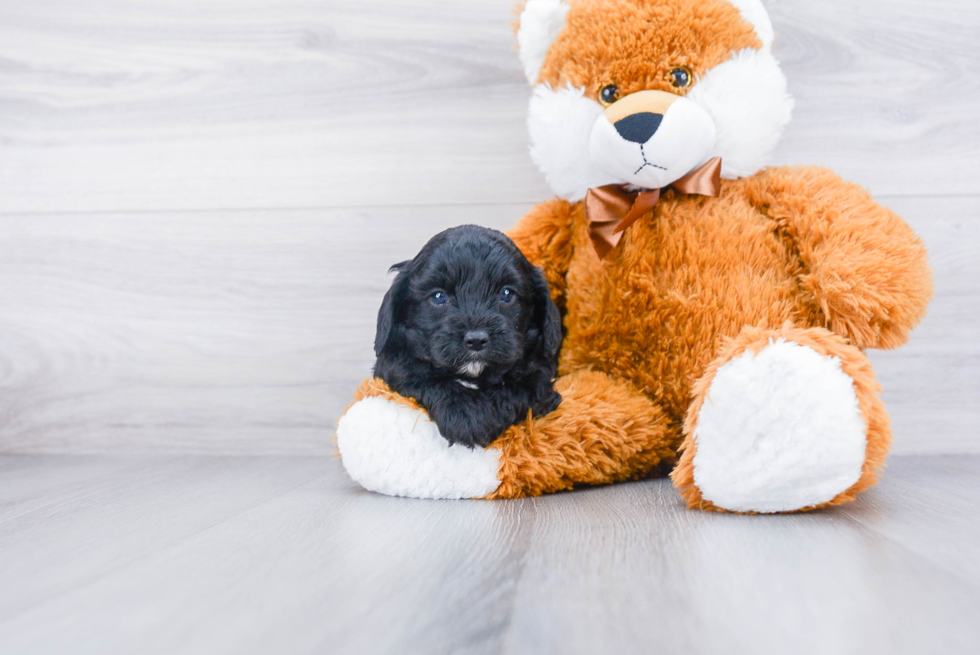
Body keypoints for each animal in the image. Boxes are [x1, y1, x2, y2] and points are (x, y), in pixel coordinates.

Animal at [374, 224, 564, 446]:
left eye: (507, 294)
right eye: (438, 296)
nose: (476, 340)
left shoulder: (539, 373)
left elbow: (519, 388)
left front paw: (480, 421)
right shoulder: (395, 361)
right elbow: (422, 376)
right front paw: (464, 415)